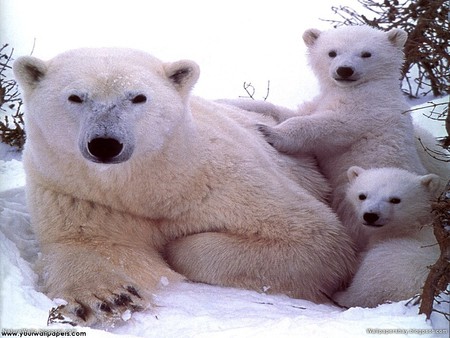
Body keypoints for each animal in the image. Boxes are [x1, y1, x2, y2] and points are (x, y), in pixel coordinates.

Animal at [13, 48, 356, 328]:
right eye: (75, 97)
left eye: (138, 97)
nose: (105, 144)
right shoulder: (74, 192)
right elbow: (83, 243)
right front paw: (109, 298)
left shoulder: (221, 179)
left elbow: (316, 238)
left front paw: (172, 246)